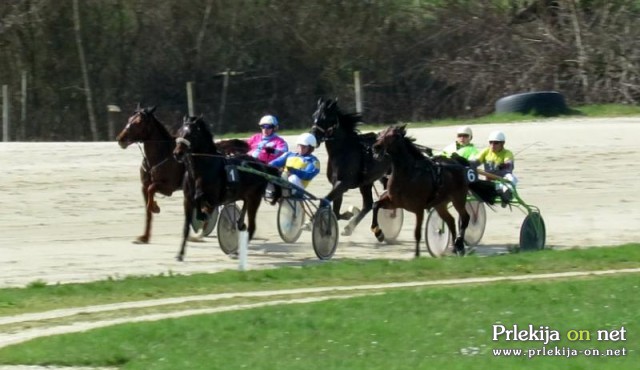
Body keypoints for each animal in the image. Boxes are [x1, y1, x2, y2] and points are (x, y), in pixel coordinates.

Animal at [116, 105, 249, 243]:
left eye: (138, 122)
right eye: (129, 119)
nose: (120, 139)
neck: (160, 156)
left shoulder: (168, 187)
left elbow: (152, 189)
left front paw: (155, 207)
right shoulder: (144, 186)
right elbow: (148, 207)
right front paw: (144, 236)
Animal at [172, 117, 280, 262]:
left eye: (191, 135)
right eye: (179, 132)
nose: (177, 153)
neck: (200, 172)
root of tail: (262, 165)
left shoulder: (213, 199)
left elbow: (201, 201)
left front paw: (201, 216)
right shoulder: (187, 200)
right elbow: (186, 226)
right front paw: (180, 254)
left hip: (255, 198)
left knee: (251, 228)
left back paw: (237, 252)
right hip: (246, 196)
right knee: (242, 220)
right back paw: (239, 229)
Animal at [310, 97, 390, 237]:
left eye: (326, 118)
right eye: (314, 116)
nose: (313, 136)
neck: (343, 150)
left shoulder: (343, 183)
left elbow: (324, 200)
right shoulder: (337, 184)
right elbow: (336, 211)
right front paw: (348, 215)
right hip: (367, 183)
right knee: (368, 204)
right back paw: (349, 228)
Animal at [368, 125, 498, 256]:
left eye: (393, 135)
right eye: (380, 133)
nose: (376, 147)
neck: (408, 174)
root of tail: (459, 164)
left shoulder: (418, 208)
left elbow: (417, 233)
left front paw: (417, 255)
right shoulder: (394, 202)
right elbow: (375, 205)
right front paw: (378, 232)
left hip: (458, 198)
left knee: (465, 218)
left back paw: (459, 244)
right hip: (440, 203)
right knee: (451, 221)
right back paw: (455, 247)